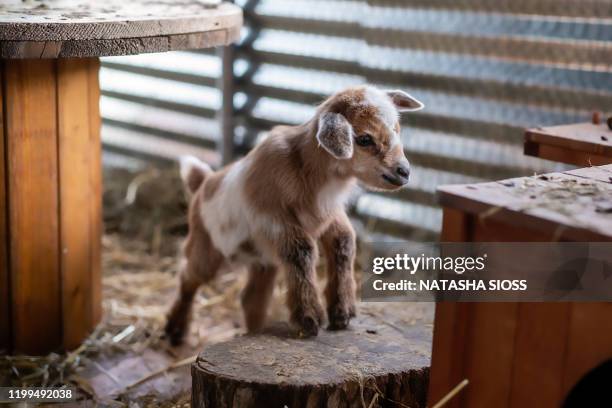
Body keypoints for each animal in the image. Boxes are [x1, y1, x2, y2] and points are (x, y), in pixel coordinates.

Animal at [165, 86, 424, 344]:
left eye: (397, 129)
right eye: (364, 139)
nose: (404, 172)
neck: (308, 170)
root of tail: (204, 182)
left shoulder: (330, 214)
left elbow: (343, 242)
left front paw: (342, 313)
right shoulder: (274, 219)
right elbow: (302, 251)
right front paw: (309, 319)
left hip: (262, 260)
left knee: (251, 298)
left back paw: (253, 331)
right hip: (206, 246)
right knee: (188, 277)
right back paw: (175, 329)